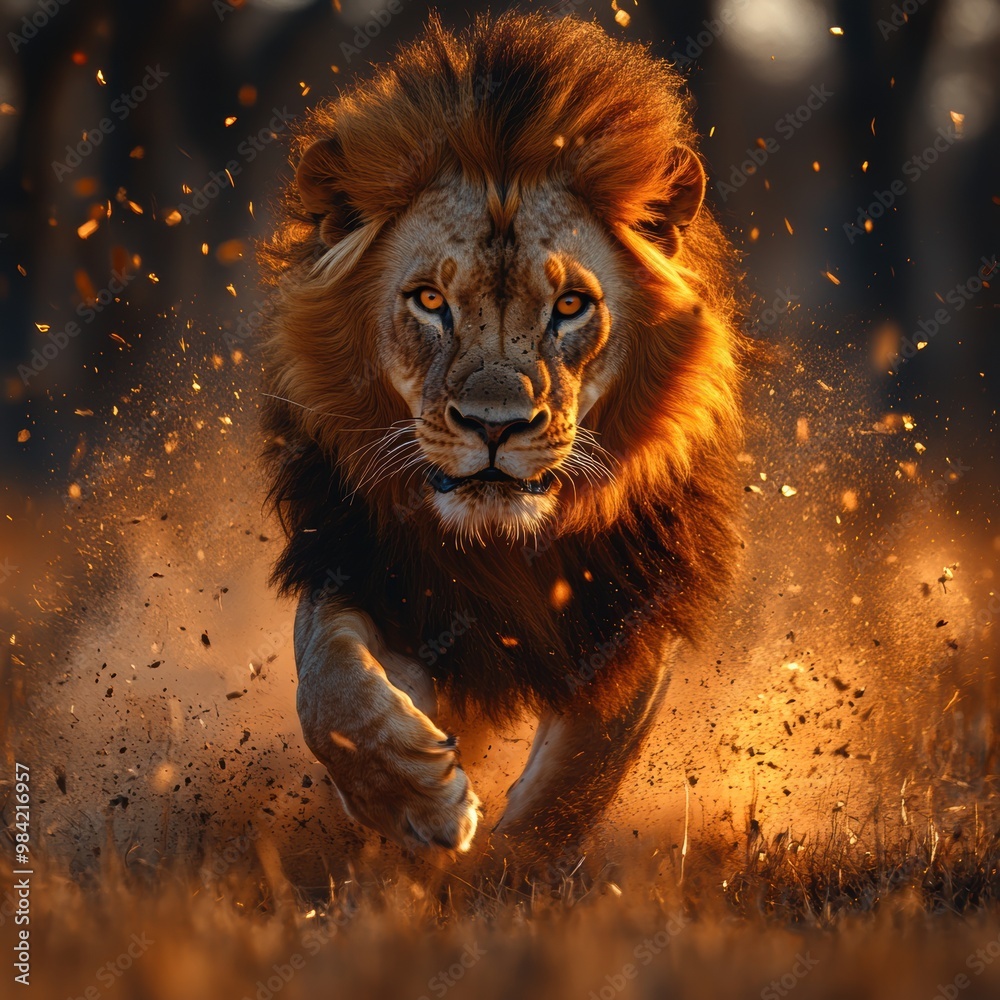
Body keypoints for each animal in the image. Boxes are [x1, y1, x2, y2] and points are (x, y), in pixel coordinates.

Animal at [258, 11, 743, 862]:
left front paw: (511, 874)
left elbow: (579, 775)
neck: (502, 548)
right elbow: (328, 685)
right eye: (428, 300)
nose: (495, 425)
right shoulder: (360, 562)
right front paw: (417, 801)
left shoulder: (632, 614)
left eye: (572, 306)